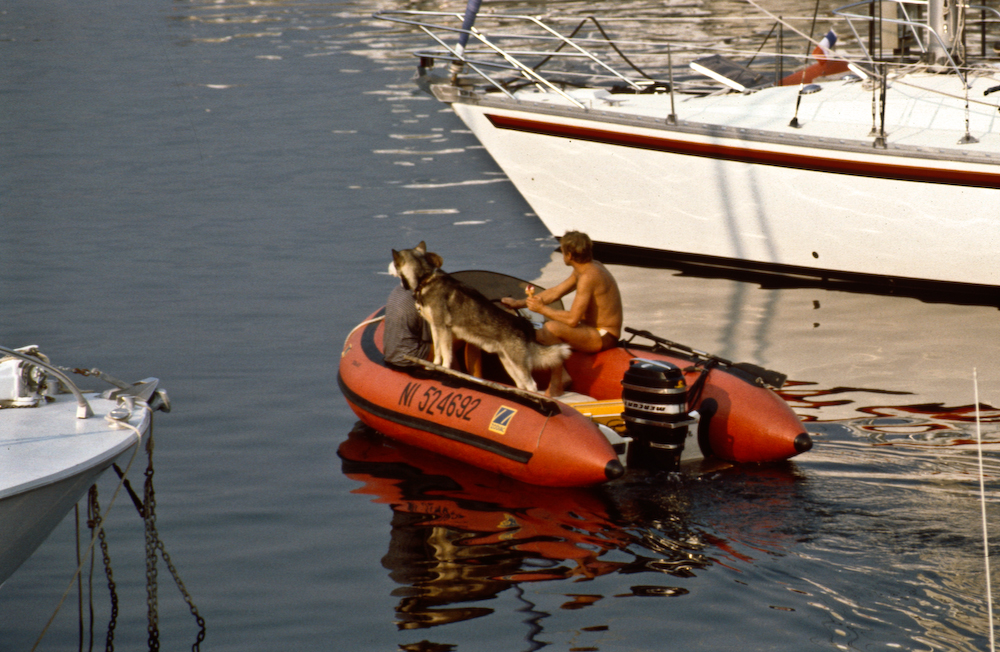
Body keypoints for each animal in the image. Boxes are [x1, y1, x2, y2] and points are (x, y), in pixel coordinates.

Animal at [388, 241, 568, 390]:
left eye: (393, 261)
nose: (387, 268)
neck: (425, 279)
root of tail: (525, 326)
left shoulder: (444, 328)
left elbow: (446, 354)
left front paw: (444, 369)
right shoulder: (434, 326)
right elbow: (438, 351)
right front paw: (434, 365)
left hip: (518, 364)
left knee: (532, 386)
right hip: (509, 364)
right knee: (521, 385)